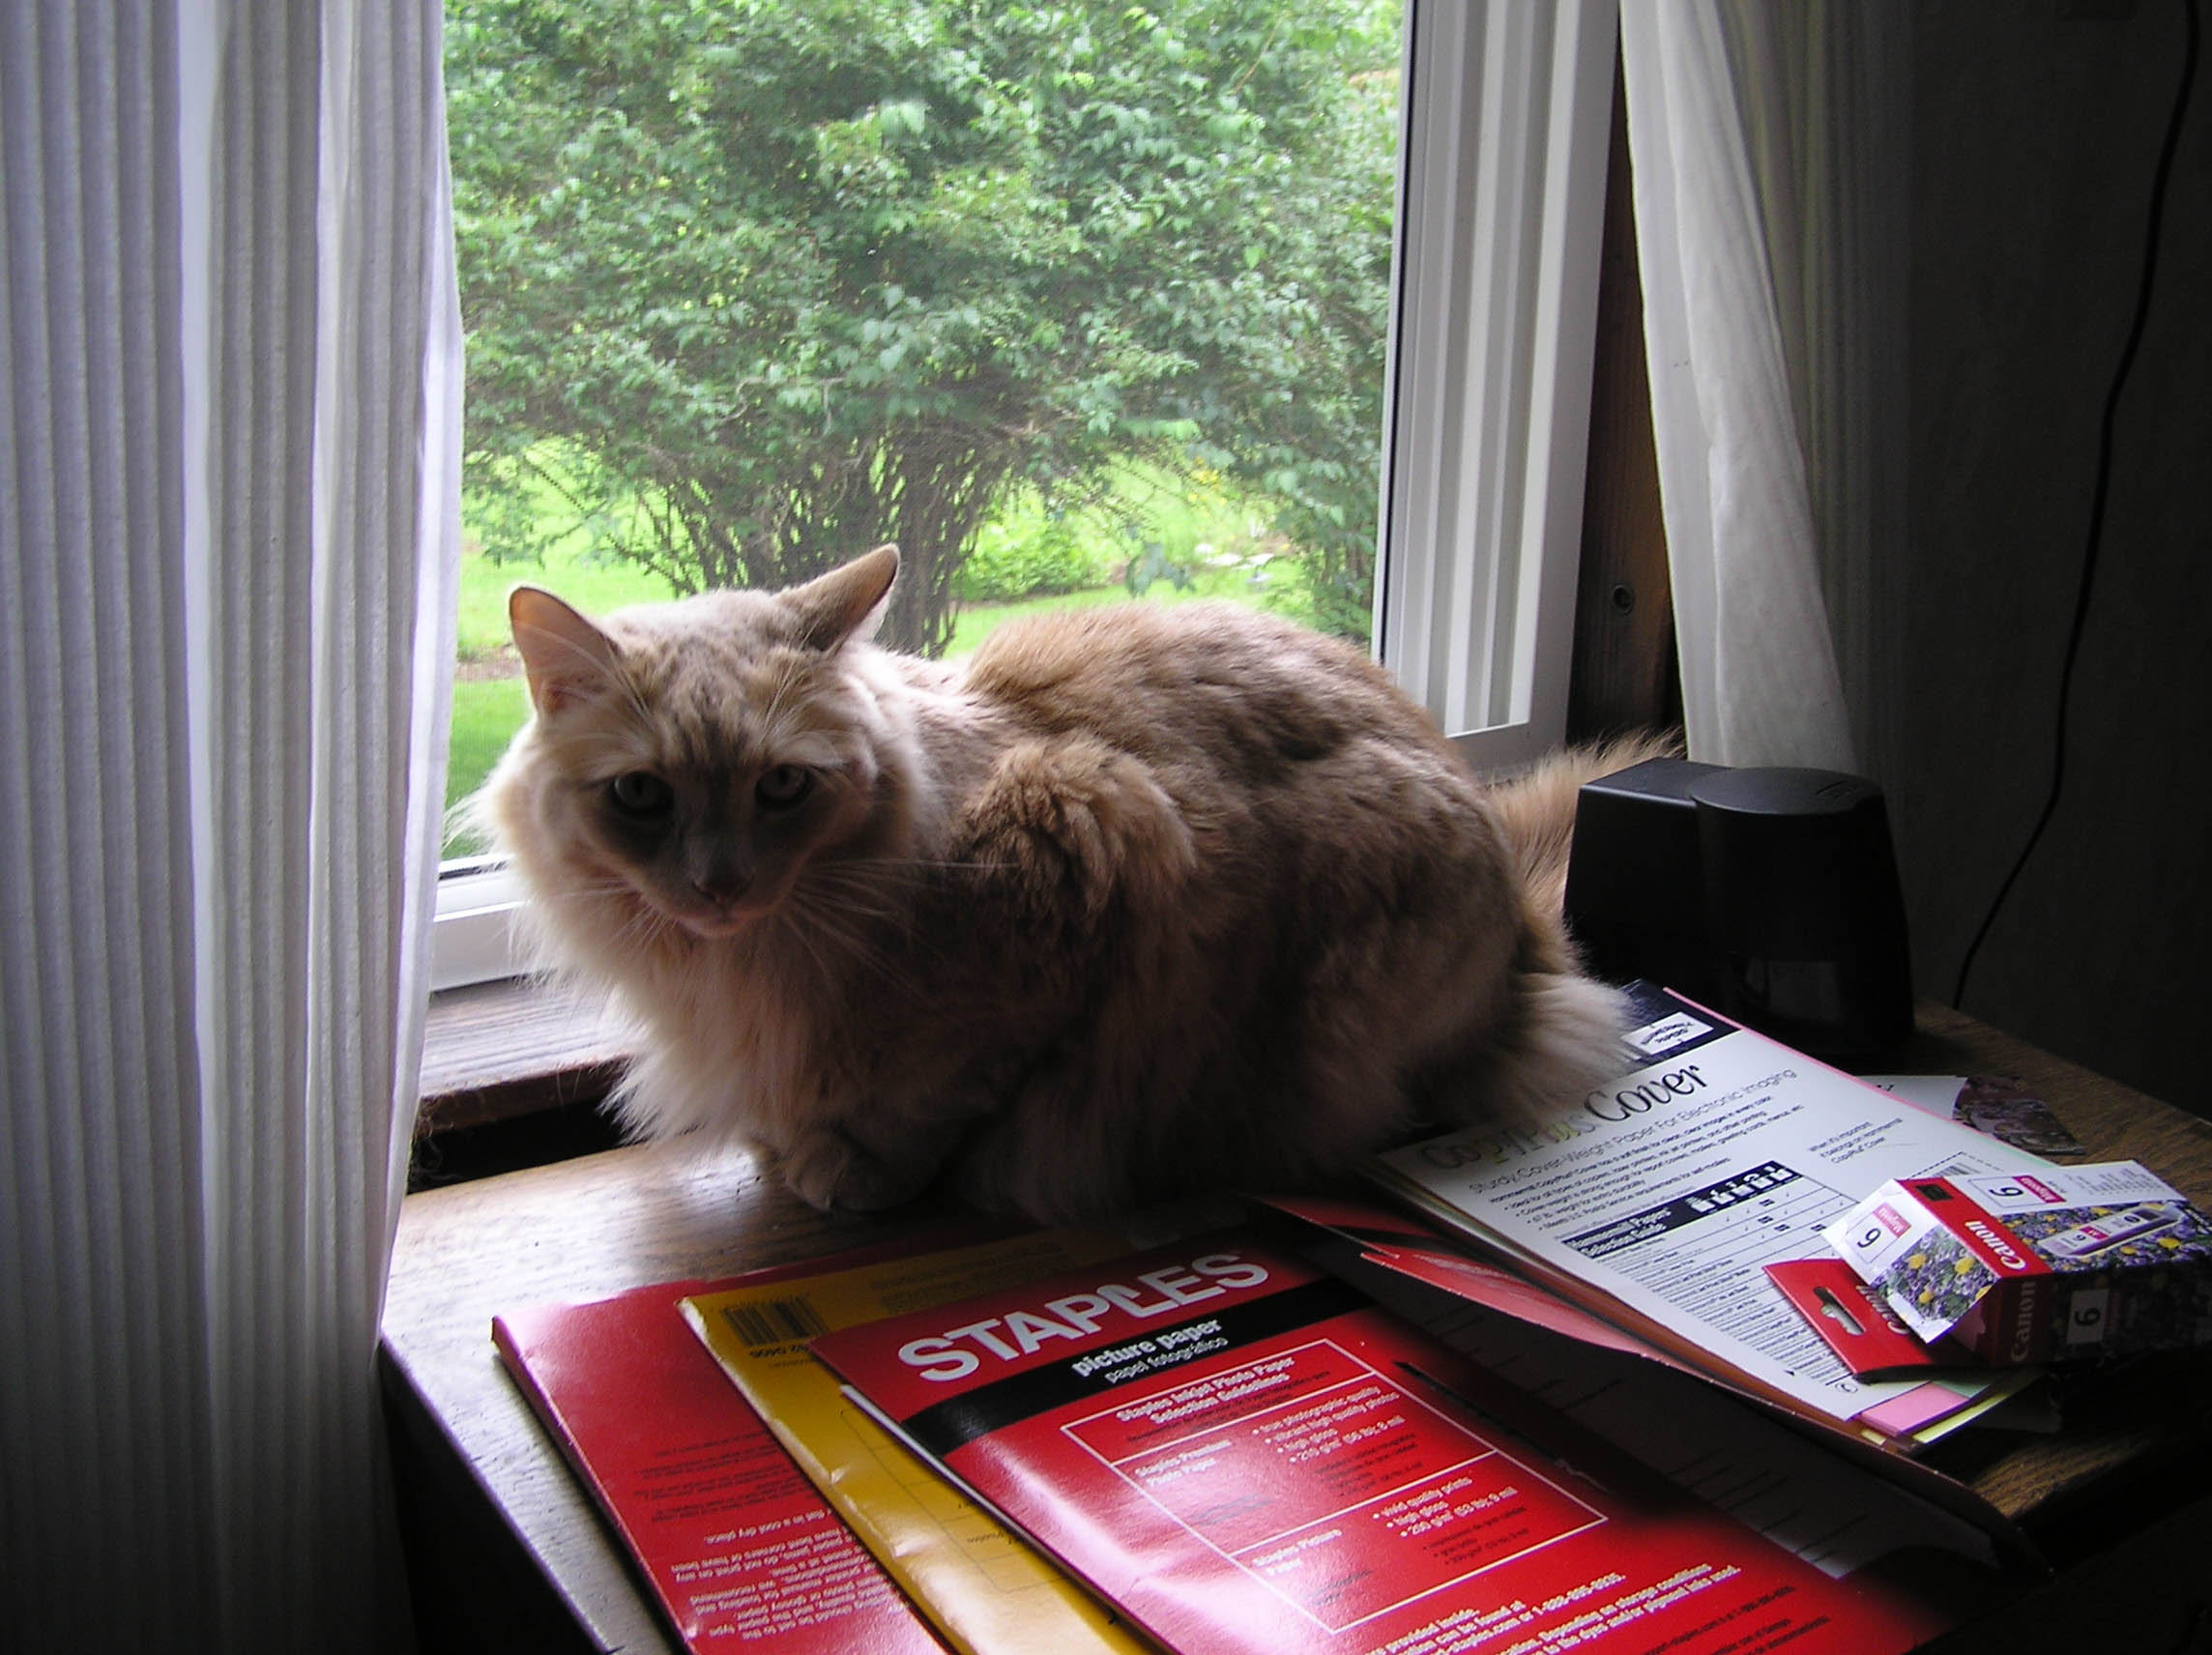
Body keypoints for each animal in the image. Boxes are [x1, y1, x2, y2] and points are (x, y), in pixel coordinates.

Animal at [480, 548, 1645, 1221]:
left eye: (781, 787)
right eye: (641, 794)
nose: (718, 884)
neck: (738, 966)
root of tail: (1531, 934)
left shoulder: (1082, 840)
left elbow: (920, 1110)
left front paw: (841, 1179)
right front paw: (784, 1152)